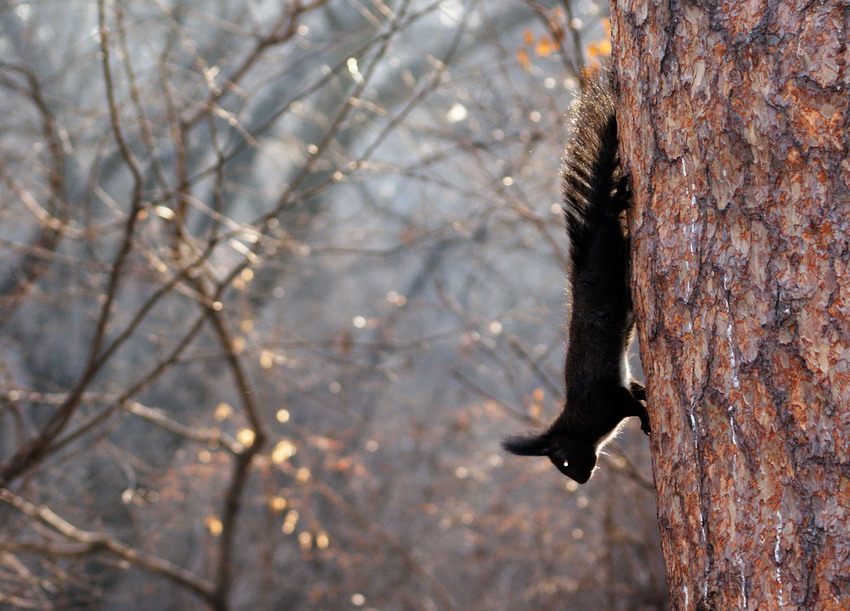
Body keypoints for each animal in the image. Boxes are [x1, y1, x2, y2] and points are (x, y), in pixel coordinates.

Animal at [500, 70, 644, 482]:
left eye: (562, 459)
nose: (581, 479)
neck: (580, 422)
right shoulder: (616, 392)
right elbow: (635, 392)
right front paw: (646, 395)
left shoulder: (606, 399)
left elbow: (632, 407)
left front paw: (647, 420)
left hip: (608, 254)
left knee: (610, 215)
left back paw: (617, 200)